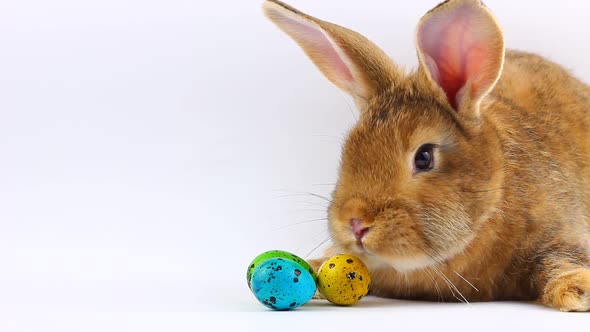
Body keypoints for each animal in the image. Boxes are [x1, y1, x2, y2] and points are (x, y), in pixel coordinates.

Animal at [264, 0, 590, 312]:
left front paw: (578, 290)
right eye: (347, 149)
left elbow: (555, 261)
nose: (355, 223)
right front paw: (315, 267)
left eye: (424, 157)